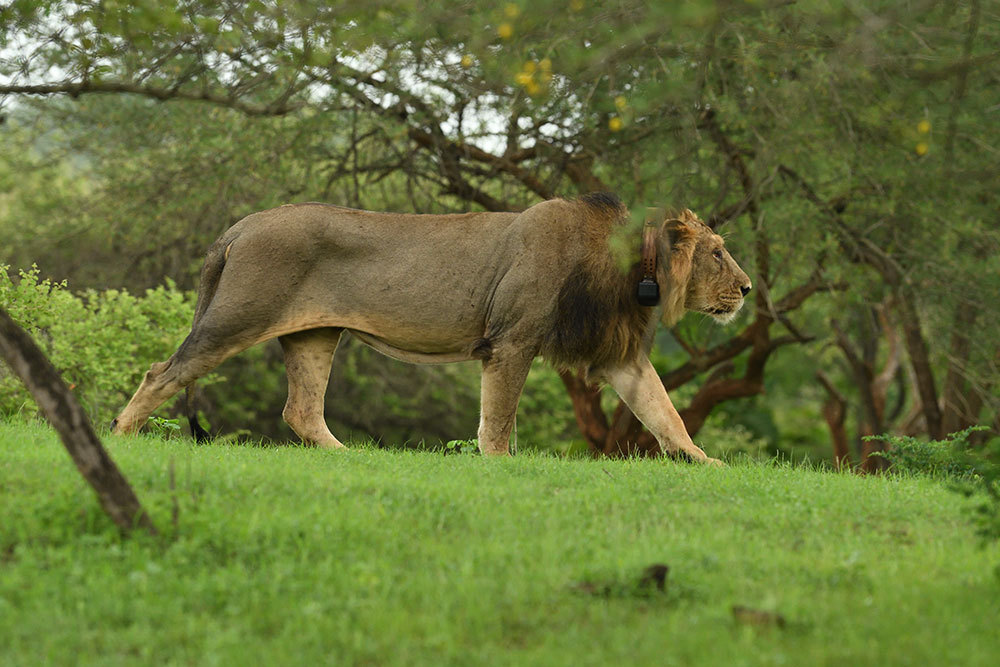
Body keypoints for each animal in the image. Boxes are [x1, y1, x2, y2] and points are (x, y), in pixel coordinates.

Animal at [109, 193, 752, 464]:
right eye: (719, 253)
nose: (747, 289)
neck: (632, 270)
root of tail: (241, 225)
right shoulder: (511, 340)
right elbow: (498, 420)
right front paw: (499, 466)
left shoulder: (618, 356)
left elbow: (665, 413)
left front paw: (710, 465)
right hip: (239, 316)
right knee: (162, 371)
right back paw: (120, 437)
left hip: (315, 335)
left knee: (302, 410)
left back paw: (354, 456)